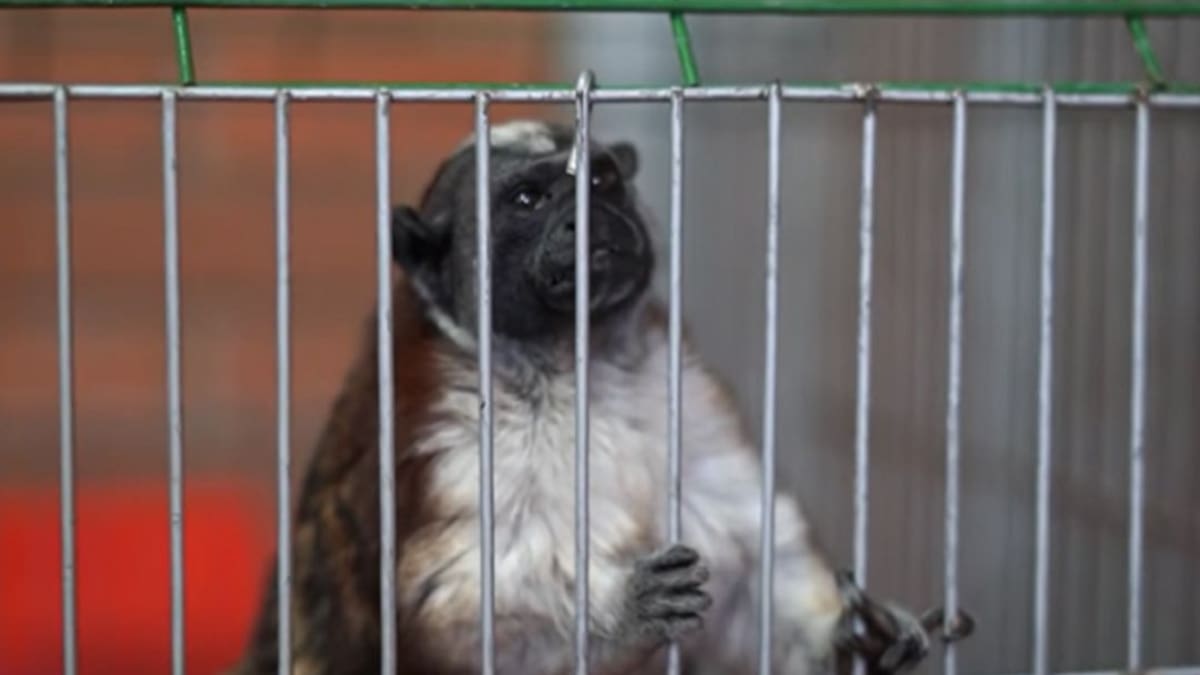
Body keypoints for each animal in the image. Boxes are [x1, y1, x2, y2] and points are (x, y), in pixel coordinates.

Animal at [231, 120, 968, 675]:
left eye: (601, 180)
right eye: (527, 200)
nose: (592, 212)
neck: (570, 363)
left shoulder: (683, 392)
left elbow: (744, 549)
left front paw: (853, 640)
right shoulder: (448, 430)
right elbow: (449, 608)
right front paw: (618, 610)